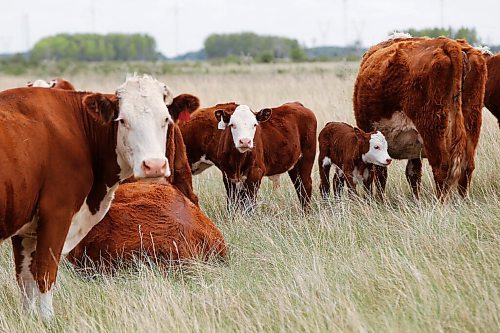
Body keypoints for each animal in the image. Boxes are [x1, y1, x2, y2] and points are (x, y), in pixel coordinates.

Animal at [0, 74, 176, 318]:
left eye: (166, 119)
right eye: (123, 120)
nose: (154, 165)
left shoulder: (26, 228)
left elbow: (25, 280)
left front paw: (30, 319)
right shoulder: (56, 214)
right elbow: (45, 274)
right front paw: (48, 320)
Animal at [180, 100, 316, 210]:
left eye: (254, 125)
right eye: (232, 125)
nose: (245, 141)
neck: (238, 162)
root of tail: (297, 104)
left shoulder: (255, 174)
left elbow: (248, 206)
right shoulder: (229, 176)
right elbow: (233, 204)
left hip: (306, 159)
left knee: (306, 187)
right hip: (294, 167)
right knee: (299, 187)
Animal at [354, 35, 486, 198]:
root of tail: (448, 43)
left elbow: (379, 173)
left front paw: (379, 200)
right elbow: (413, 174)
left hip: (432, 127)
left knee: (442, 167)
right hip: (472, 123)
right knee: (467, 167)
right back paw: (462, 201)